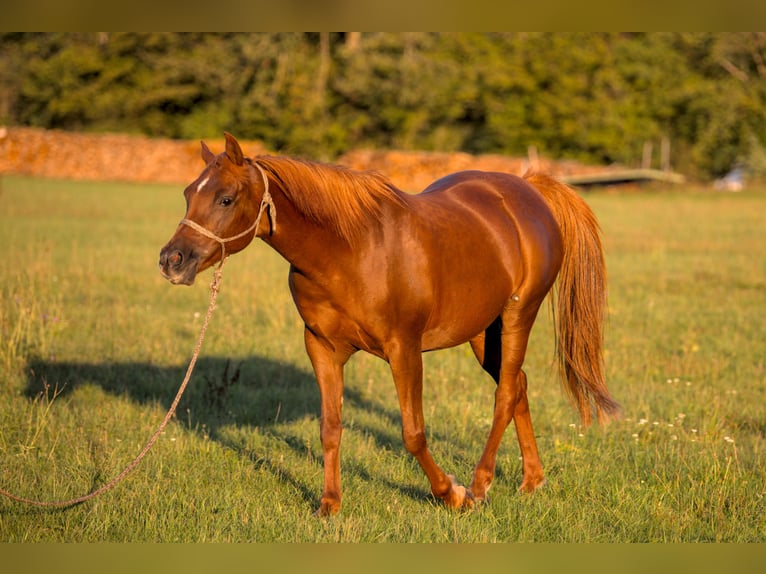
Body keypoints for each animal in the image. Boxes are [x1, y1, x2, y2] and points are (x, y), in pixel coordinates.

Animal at [159, 134, 620, 516]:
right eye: (187, 193)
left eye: (226, 198)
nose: (172, 260)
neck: (350, 251)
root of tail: (529, 190)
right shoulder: (321, 347)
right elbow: (330, 427)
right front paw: (329, 504)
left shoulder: (404, 349)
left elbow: (413, 432)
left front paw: (451, 495)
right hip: (481, 332)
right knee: (518, 384)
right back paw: (531, 481)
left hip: (517, 316)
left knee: (505, 393)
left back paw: (480, 484)